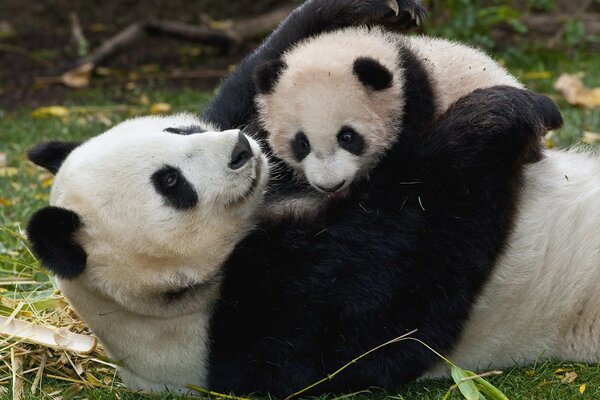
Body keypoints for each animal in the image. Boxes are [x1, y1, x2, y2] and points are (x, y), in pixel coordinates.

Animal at [23, 86, 576, 396]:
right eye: (171, 183)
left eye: (177, 129)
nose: (240, 148)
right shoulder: (257, 333)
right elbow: (409, 268)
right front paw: (502, 113)